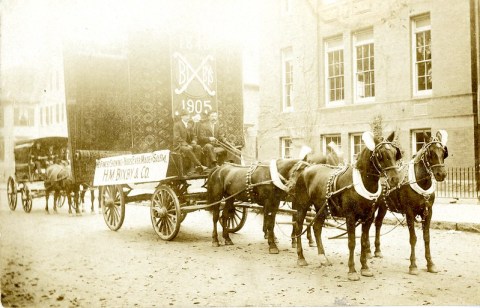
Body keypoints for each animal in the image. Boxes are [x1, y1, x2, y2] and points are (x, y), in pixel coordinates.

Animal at [290, 131, 404, 280]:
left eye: (395, 153)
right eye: (380, 154)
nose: (395, 179)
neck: (362, 183)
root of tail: (306, 169)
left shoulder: (368, 218)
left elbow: (363, 241)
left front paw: (365, 268)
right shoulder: (350, 217)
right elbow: (352, 243)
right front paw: (352, 271)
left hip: (321, 208)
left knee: (316, 228)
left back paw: (322, 257)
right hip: (302, 206)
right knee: (298, 227)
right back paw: (301, 257)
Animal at [368, 129, 450, 274]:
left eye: (443, 152)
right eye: (430, 153)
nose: (441, 174)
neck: (421, 183)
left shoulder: (428, 212)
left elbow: (426, 238)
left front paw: (430, 264)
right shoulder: (409, 212)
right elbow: (413, 238)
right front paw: (413, 265)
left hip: (383, 206)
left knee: (378, 223)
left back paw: (377, 250)